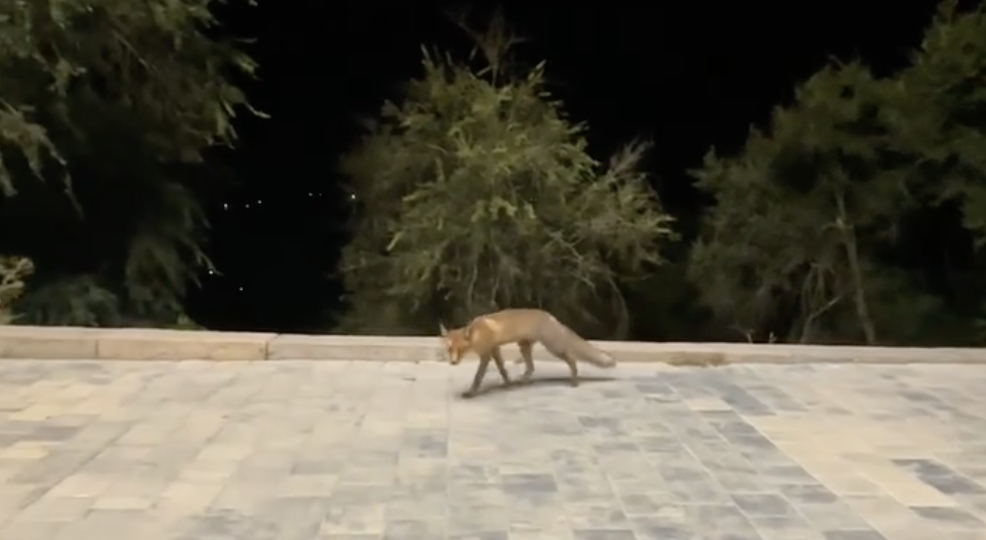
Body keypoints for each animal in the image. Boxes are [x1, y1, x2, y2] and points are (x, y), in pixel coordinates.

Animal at [439, 308, 617, 398]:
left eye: (460, 349)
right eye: (449, 349)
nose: (453, 363)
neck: (477, 333)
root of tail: (550, 316)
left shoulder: (486, 355)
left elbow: (478, 377)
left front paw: (471, 392)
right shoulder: (495, 350)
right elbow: (503, 370)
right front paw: (508, 384)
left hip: (554, 347)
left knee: (572, 360)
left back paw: (574, 381)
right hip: (523, 346)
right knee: (531, 368)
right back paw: (522, 382)